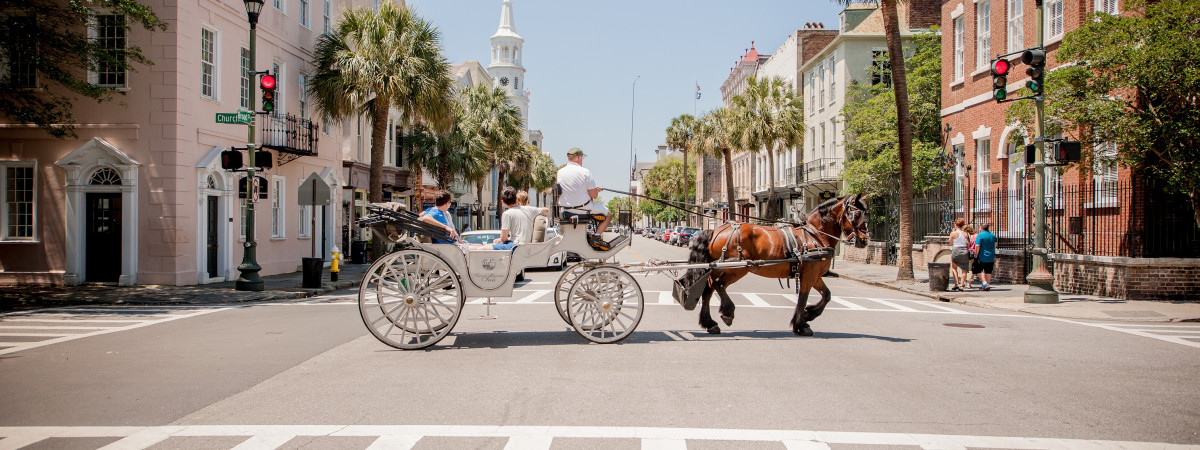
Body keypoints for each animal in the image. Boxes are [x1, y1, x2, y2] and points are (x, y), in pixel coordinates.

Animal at [686, 195, 873, 336]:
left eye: (867, 214)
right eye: (856, 214)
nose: (865, 240)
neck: (815, 233)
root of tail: (715, 231)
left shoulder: (815, 274)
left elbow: (826, 295)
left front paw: (809, 315)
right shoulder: (809, 274)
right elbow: (803, 298)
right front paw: (801, 324)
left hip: (717, 268)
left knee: (708, 289)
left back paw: (710, 323)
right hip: (737, 268)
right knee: (718, 286)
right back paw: (727, 313)